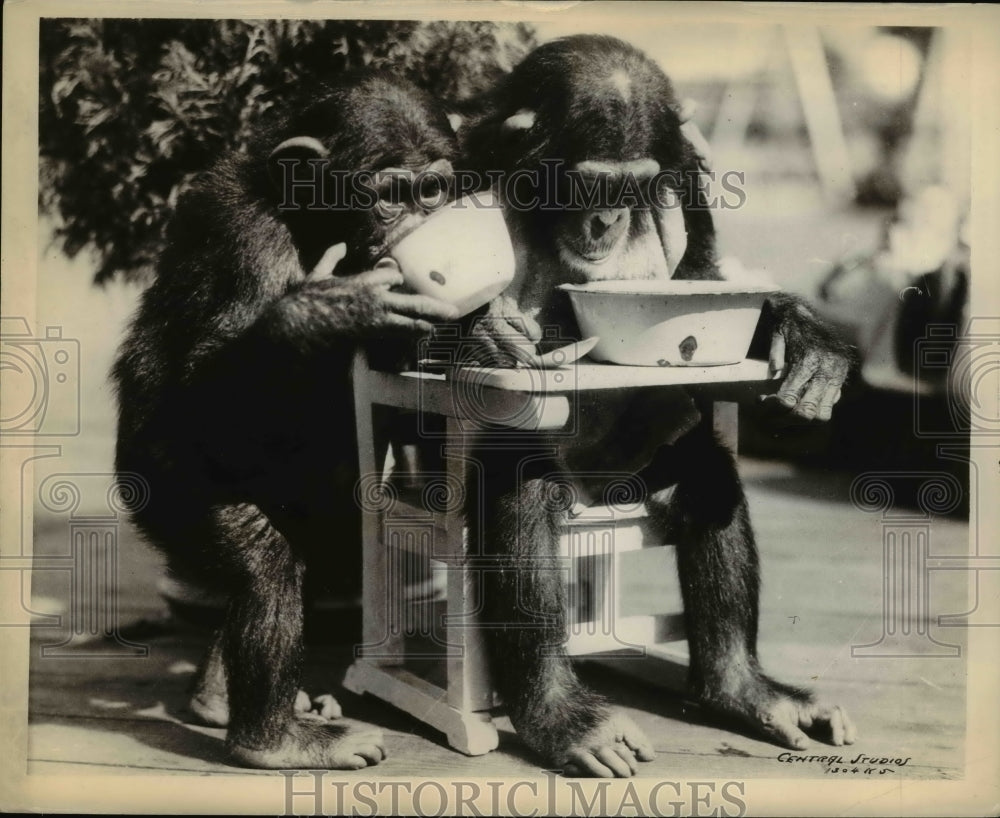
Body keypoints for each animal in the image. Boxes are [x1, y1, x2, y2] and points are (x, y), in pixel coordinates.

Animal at [110, 73, 464, 768]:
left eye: (432, 191)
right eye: (390, 197)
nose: (422, 226)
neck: (308, 222)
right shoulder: (243, 237)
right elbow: (204, 388)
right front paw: (329, 308)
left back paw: (221, 698)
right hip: (165, 492)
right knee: (263, 565)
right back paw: (271, 740)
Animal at [460, 36, 860, 776]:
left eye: (633, 186)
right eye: (588, 185)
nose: (607, 217)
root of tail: (595, 498)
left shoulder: (687, 187)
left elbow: (702, 276)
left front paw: (805, 338)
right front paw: (487, 334)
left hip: (635, 481)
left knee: (709, 474)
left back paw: (743, 689)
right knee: (521, 491)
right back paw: (562, 717)